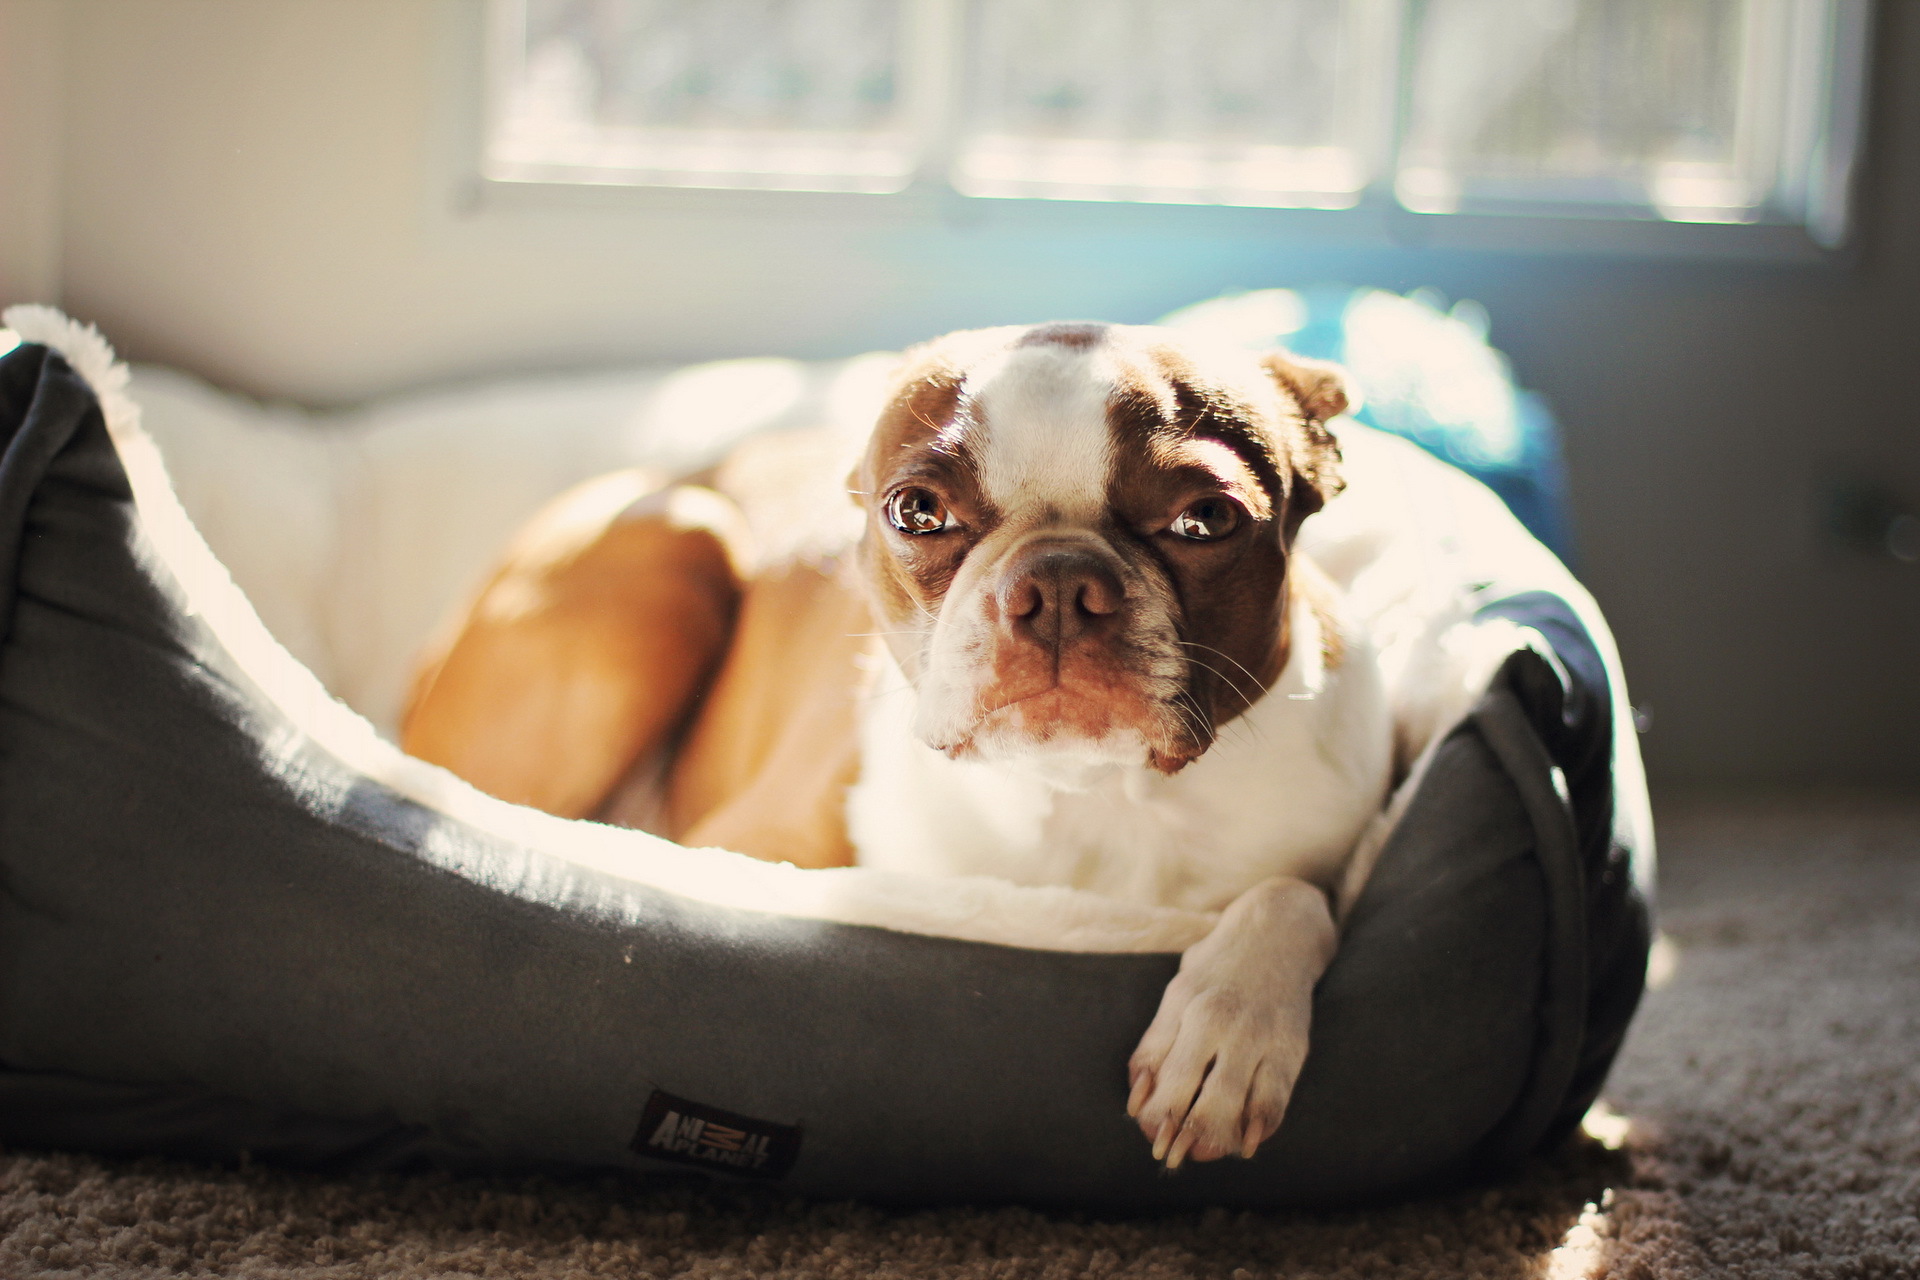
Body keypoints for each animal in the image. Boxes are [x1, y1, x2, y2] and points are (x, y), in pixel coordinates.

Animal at [401, 322, 1397, 1174]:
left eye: (1205, 521)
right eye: (917, 511)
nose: (1059, 584)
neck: (1092, 796)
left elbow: (1297, 895)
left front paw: (1227, 1029)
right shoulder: (742, 847)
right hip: (668, 553)